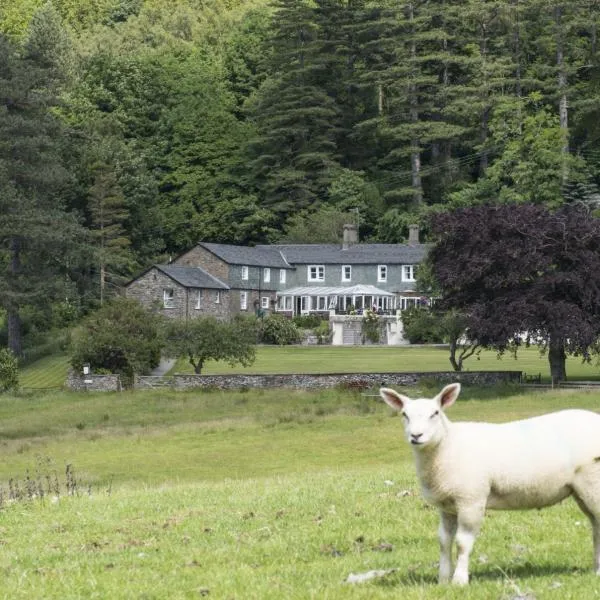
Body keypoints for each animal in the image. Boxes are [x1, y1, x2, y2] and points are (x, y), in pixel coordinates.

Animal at [380, 384, 600, 584]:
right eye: (404, 414)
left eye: (435, 413)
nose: (416, 436)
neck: (448, 444)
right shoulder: (447, 505)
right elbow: (444, 541)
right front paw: (443, 580)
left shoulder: (471, 499)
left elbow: (462, 542)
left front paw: (459, 581)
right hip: (581, 491)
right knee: (596, 525)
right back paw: (596, 570)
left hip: (592, 481)